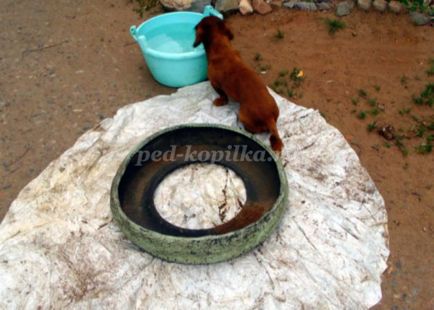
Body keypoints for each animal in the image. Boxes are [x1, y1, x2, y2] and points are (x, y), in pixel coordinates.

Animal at [194, 15, 284, 154]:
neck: (221, 47)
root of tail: (269, 117)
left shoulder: (215, 84)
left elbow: (223, 96)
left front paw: (219, 101)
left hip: (242, 114)